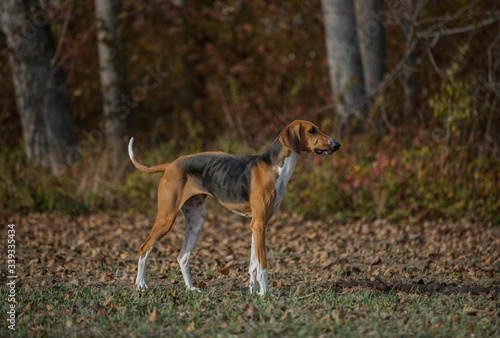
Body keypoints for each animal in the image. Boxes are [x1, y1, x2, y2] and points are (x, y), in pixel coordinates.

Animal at [127, 120, 342, 294]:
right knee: (143, 249)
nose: (337, 144)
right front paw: (266, 294)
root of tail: (171, 164)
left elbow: (253, 264)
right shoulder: (258, 225)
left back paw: (190, 288)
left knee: (182, 257)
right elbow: (263, 265)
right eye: (312, 130)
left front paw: (254, 292)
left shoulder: (259, 226)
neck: (274, 167)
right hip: (166, 219)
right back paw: (141, 285)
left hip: (196, 221)